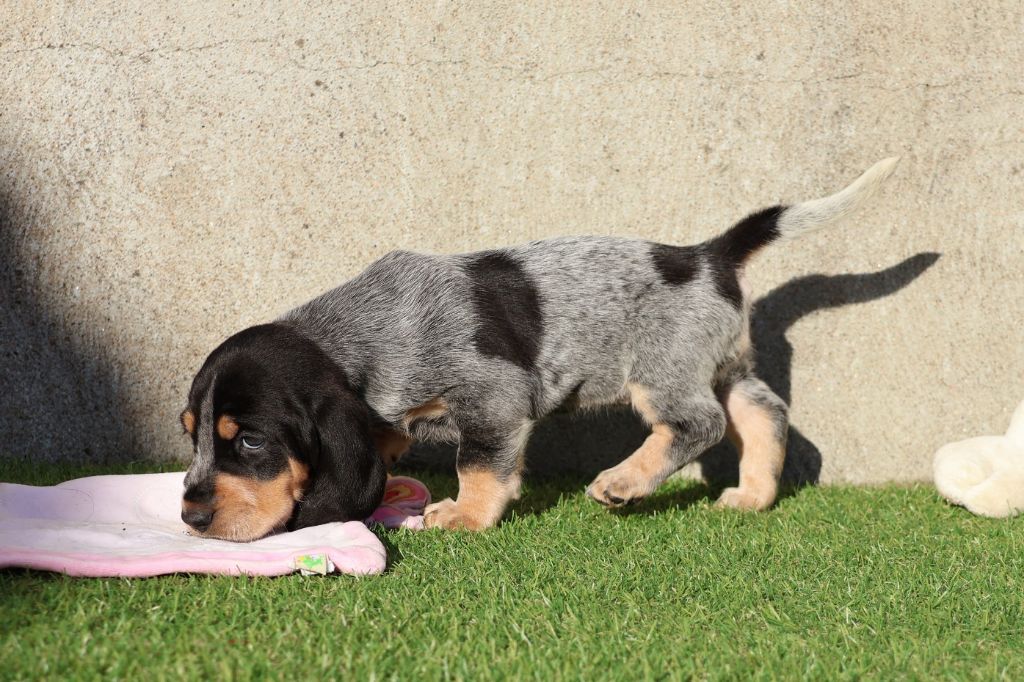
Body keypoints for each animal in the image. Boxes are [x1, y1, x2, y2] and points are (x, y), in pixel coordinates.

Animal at [180, 157, 901, 536]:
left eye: (250, 442)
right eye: (191, 434)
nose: (189, 515)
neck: (355, 335)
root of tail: (707, 256)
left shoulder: (491, 399)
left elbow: (479, 465)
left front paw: (466, 516)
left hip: (662, 371)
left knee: (699, 424)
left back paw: (623, 482)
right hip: (722, 362)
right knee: (764, 412)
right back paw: (753, 495)